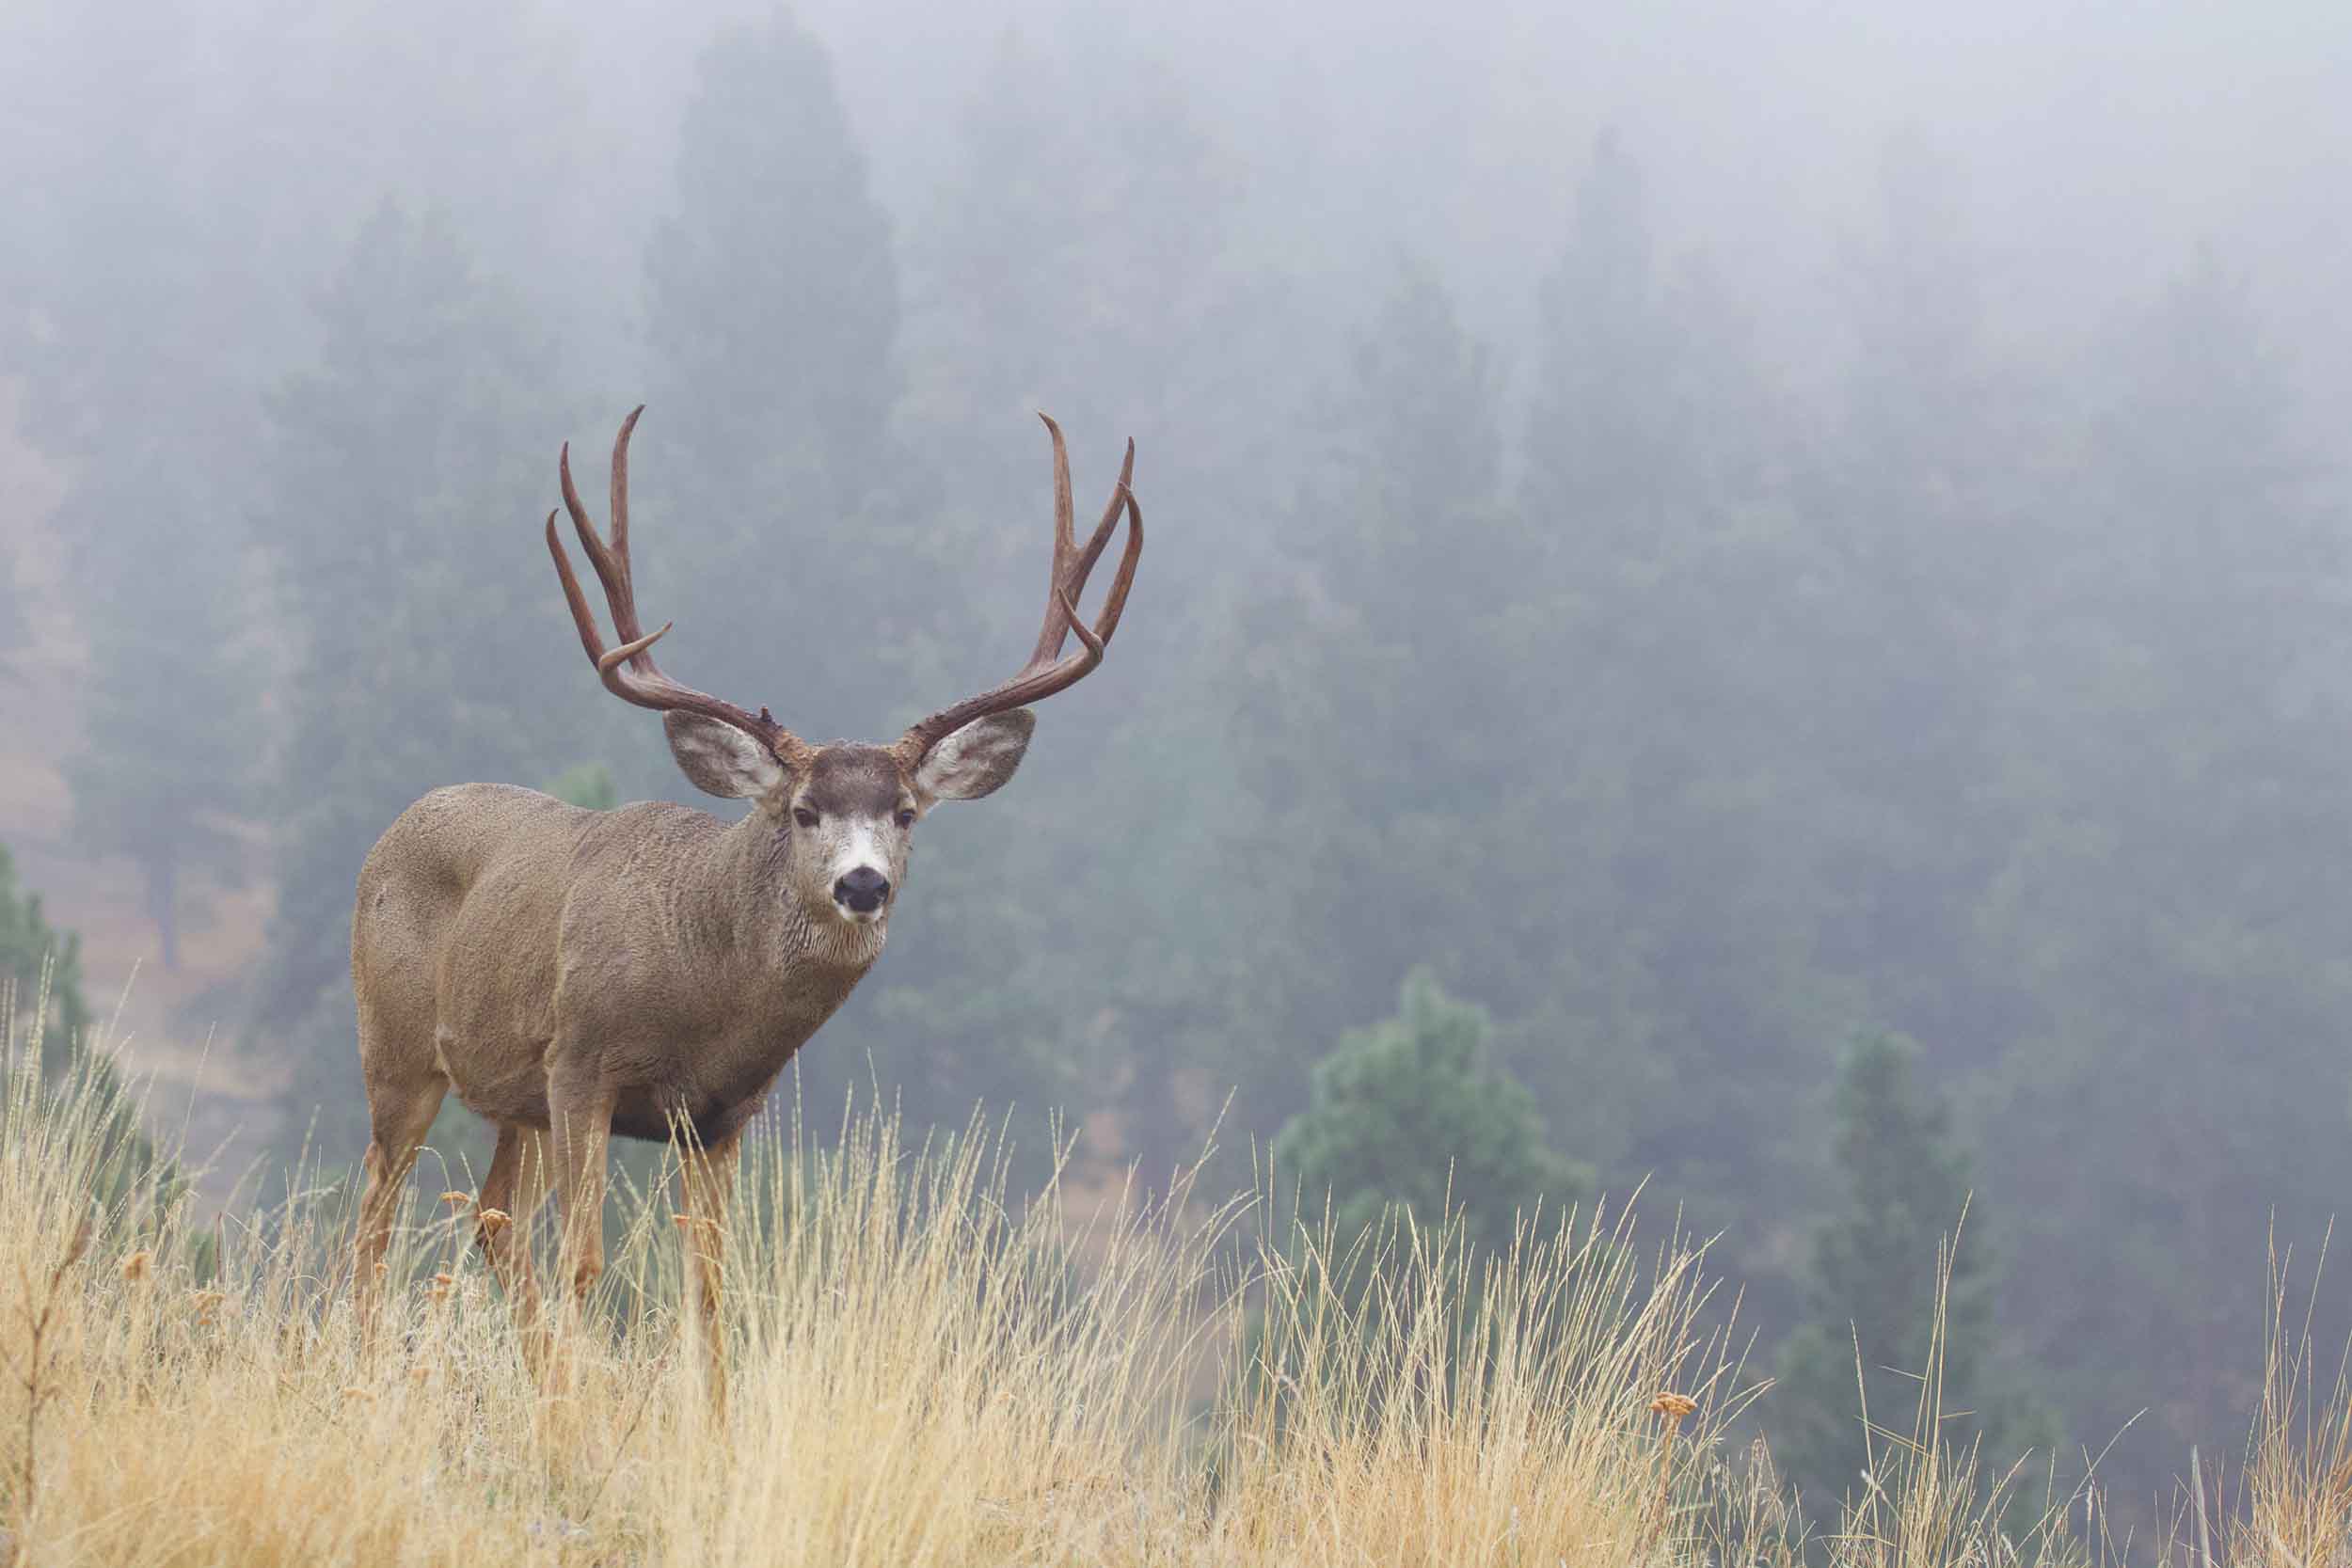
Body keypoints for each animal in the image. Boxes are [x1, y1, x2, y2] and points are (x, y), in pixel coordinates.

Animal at [349, 406, 1141, 1386]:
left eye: (905, 811)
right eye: (803, 810)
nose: (863, 881)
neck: (703, 993)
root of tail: (394, 828)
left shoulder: (722, 1115)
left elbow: (712, 1289)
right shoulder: (578, 1061)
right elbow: (585, 1262)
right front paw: (576, 1412)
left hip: (512, 1103)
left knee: (494, 1223)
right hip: (398, 1047)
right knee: (377, 1212)